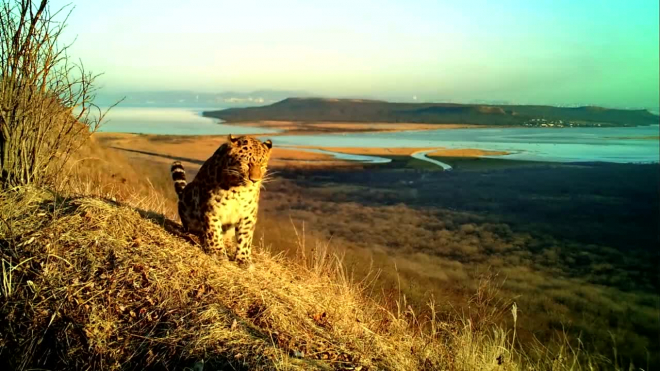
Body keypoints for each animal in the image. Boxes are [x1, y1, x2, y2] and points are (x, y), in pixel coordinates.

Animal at [173, 134, 274, 268]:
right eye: (247, 163)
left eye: (262, 165)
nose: (255, 180)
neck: (237, 189)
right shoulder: (211, 209)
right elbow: (213, 231)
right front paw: (218, 253)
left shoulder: (248, 214)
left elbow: (245, 238)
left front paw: (244, 259)